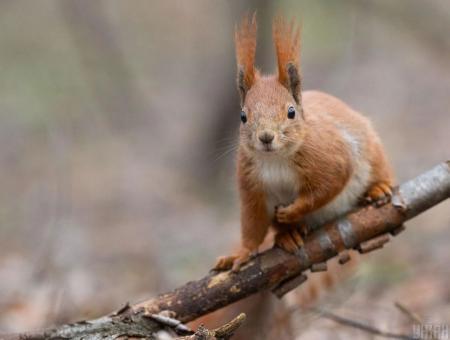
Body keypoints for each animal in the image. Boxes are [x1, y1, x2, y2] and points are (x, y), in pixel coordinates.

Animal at [214, 14, 394, 272]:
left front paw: (293, 211)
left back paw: (378, 188)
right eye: (242, 116)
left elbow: (327, 186)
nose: (266, 137)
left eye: (291, 112)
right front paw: (241, 253)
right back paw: (288, 234)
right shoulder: (251, 185)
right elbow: (253, 224)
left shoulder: (330, 156)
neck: (276, 159)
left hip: (373, 151)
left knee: (380, 172)